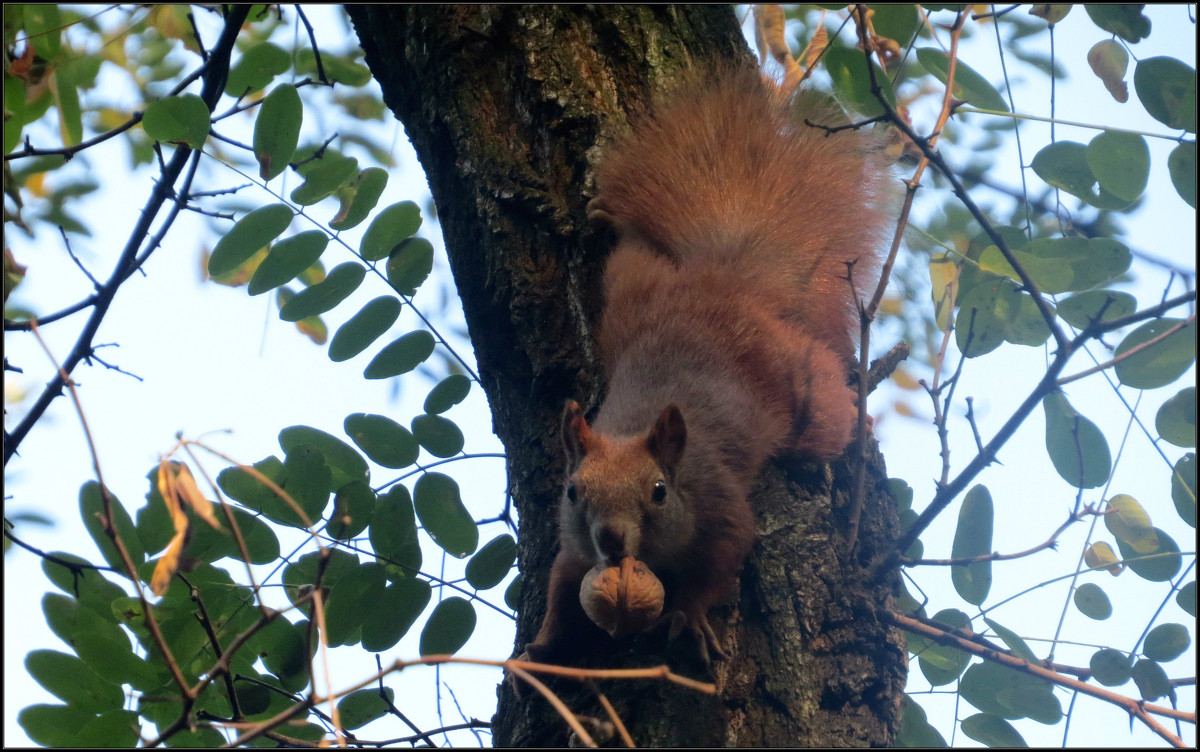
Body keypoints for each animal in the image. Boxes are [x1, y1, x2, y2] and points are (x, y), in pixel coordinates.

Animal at [525, 63, 892, 666]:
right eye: (573, 492)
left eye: (658, 491)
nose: (611, 540)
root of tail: (725, 286)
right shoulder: (574, 544)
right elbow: (560, 585)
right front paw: (543, 644)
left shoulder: (718, 503)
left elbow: (726, 557)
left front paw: (689, 616)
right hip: (630, 296)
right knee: (631, 255)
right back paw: (614, 222)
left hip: (804, 394)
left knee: (830, 421)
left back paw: (859, 424)